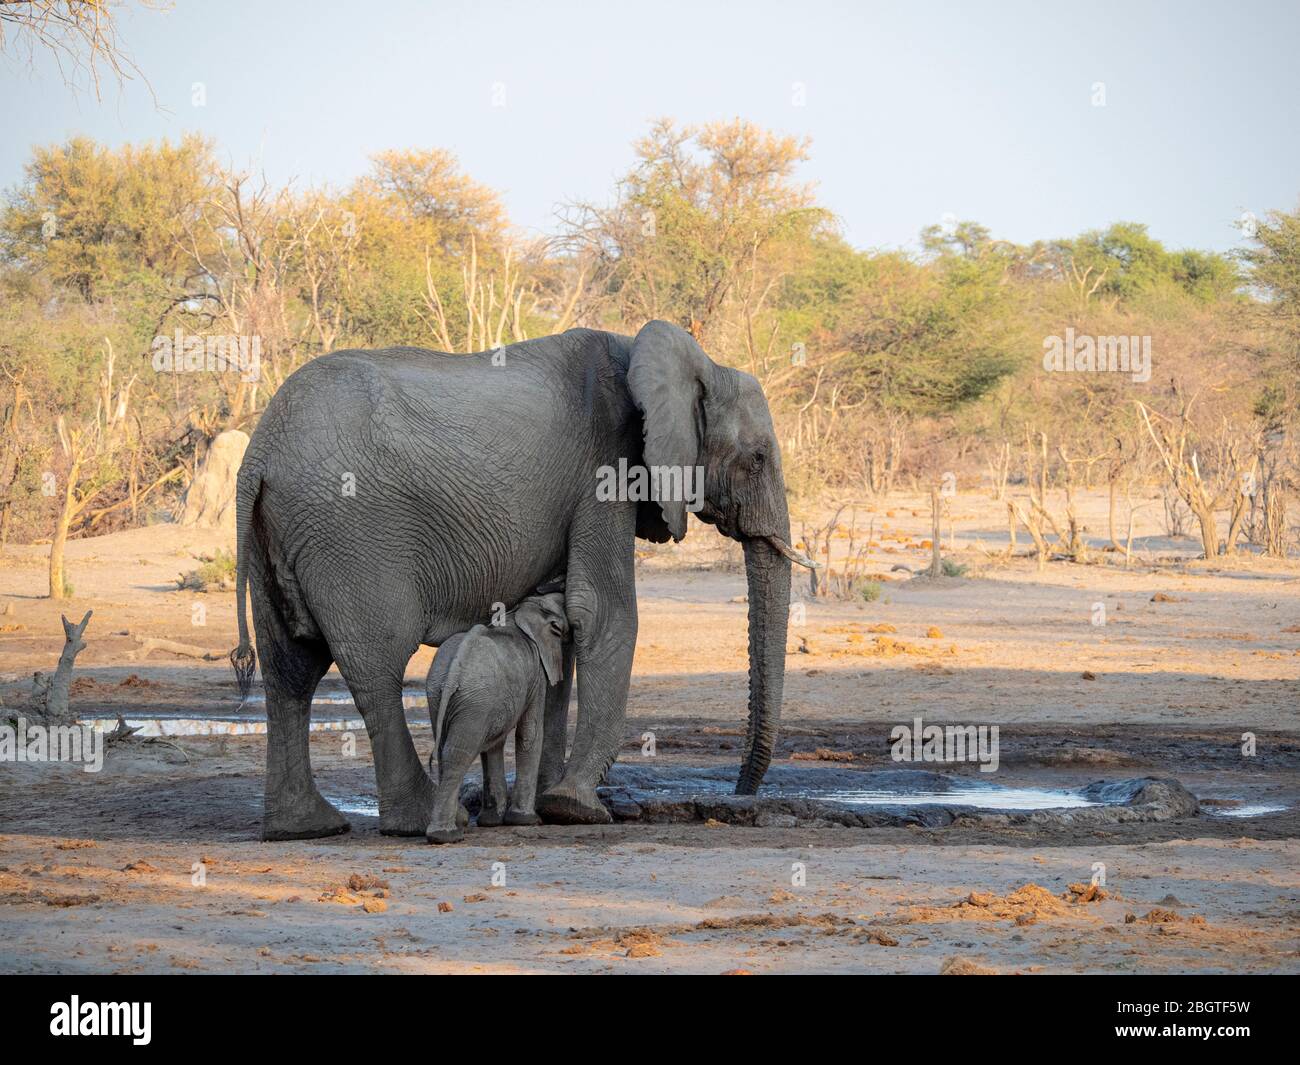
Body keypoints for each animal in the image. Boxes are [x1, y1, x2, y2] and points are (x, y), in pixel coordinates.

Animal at [426, 587, 569, 847]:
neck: (521, 613)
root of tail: (453, 673)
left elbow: (494, 743)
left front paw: (491, 822)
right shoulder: (536, 674)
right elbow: (530, 732)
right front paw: (527, 821)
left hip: (441, 693)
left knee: (444, 749)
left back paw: (452, 826)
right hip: (476, 698)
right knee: (457, 753)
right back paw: (445, 836)